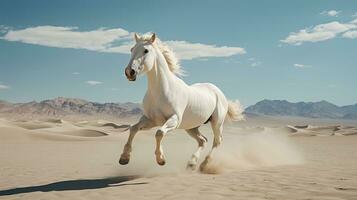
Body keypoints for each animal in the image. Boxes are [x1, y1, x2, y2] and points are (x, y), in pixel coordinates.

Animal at [119, 32, 242, 170]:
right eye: (131, 49)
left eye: (146, 50)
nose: (129, 72)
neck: (161, 90)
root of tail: (218, 92)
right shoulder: (150, 119)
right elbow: (133, 129)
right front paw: (124, 158)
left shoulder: (174, 119)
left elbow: (159, 133)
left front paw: (160, 159)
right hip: (191, 127)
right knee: (203, 140)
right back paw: (192, 163)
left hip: (217, 123)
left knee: (217, 141)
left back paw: (204, 164)